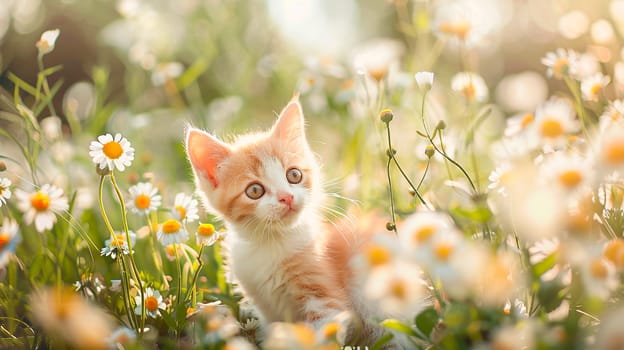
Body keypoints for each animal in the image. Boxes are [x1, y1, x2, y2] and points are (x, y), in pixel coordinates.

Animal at [183, 97, 402, 346]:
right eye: (255, 190)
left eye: (294, 175)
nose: (286, 197)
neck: (270, 243)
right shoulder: (265, 305)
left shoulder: (329, 305)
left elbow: (318, 335)